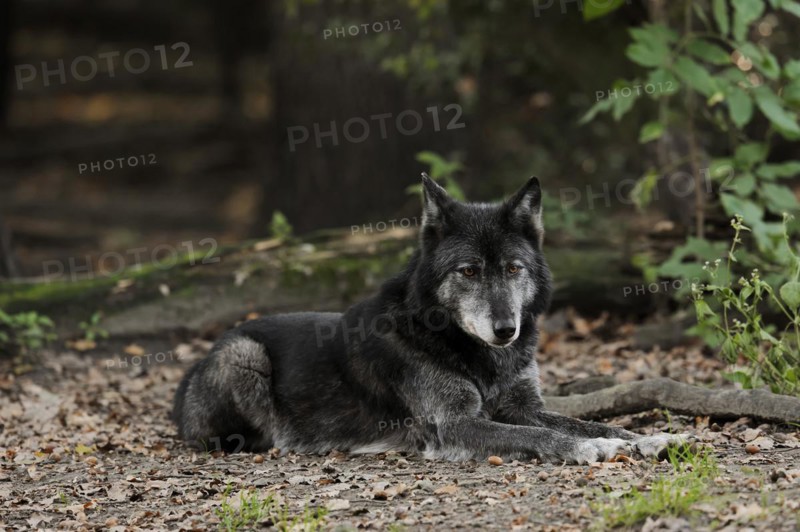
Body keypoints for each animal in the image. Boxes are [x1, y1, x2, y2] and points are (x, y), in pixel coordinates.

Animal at [172, 174, 688, 463]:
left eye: (513, 269)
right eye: (469, 271)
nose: (507, 330)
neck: (479, 356)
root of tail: (191, 371)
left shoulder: (524, 405)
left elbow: (585, 422)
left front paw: (650, 438)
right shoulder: (455, 424)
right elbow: (541, 435)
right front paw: (588, 450)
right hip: (245, 355)